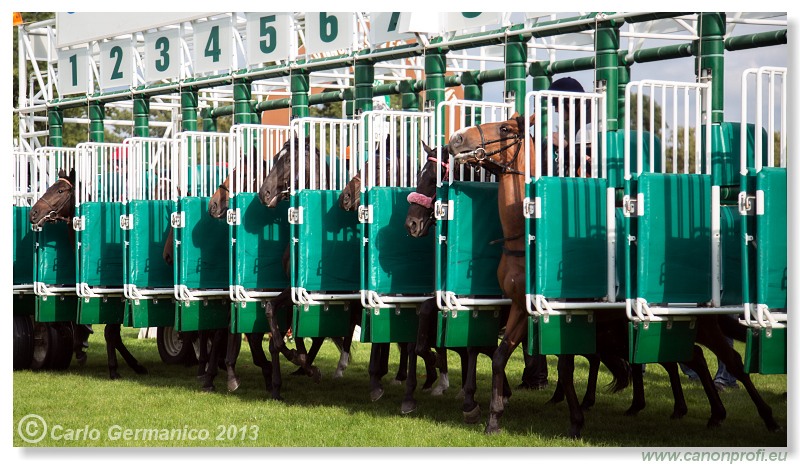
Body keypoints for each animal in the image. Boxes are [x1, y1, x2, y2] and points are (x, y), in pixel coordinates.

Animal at [28, 168, 148, 380]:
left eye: (60, 191)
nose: (33, 213)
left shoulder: (116, 297)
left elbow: (110, 332)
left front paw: (115, 368)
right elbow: (112, 334)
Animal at [446, 112, 780, 436]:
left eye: (504, 128)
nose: (456, 138)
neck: (527, 238)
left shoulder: (565, 312)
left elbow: (565, 368)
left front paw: (576, 421)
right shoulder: (520, 307)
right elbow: (500, 357)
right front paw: (492, 418)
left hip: (701, 319)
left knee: (730, 360)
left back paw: (766, 417)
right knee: (693, 356)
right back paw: (708, 413)